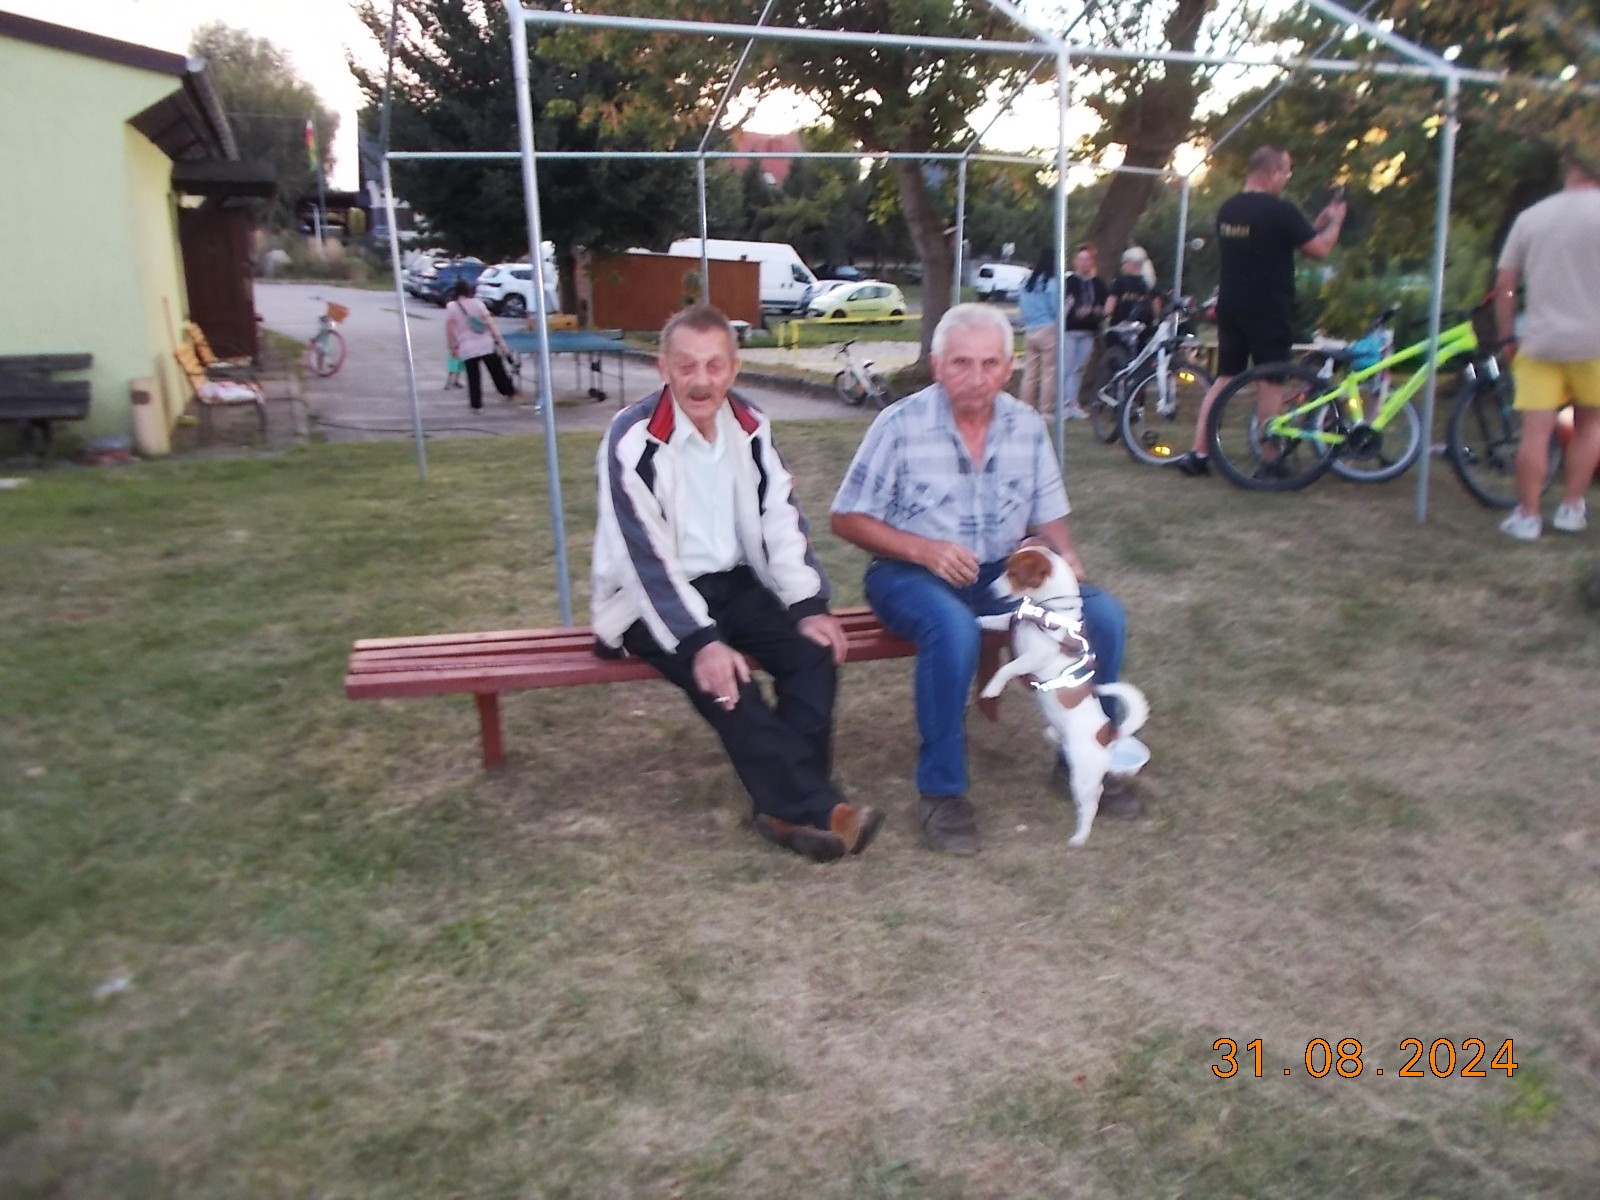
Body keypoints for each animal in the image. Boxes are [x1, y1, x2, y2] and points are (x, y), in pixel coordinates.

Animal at [978, 544, 1148, 846]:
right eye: (1004, 568)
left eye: (1013, 574)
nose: (989, 590)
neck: (1047, 610)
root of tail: (1107, 734)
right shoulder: (1012, 619)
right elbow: (997, 620)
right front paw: (977, 619)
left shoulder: (1033, 658)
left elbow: (1007, 668)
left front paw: (992, 688)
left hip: (1084, 777)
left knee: (1091, 802)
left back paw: (1080, 836)